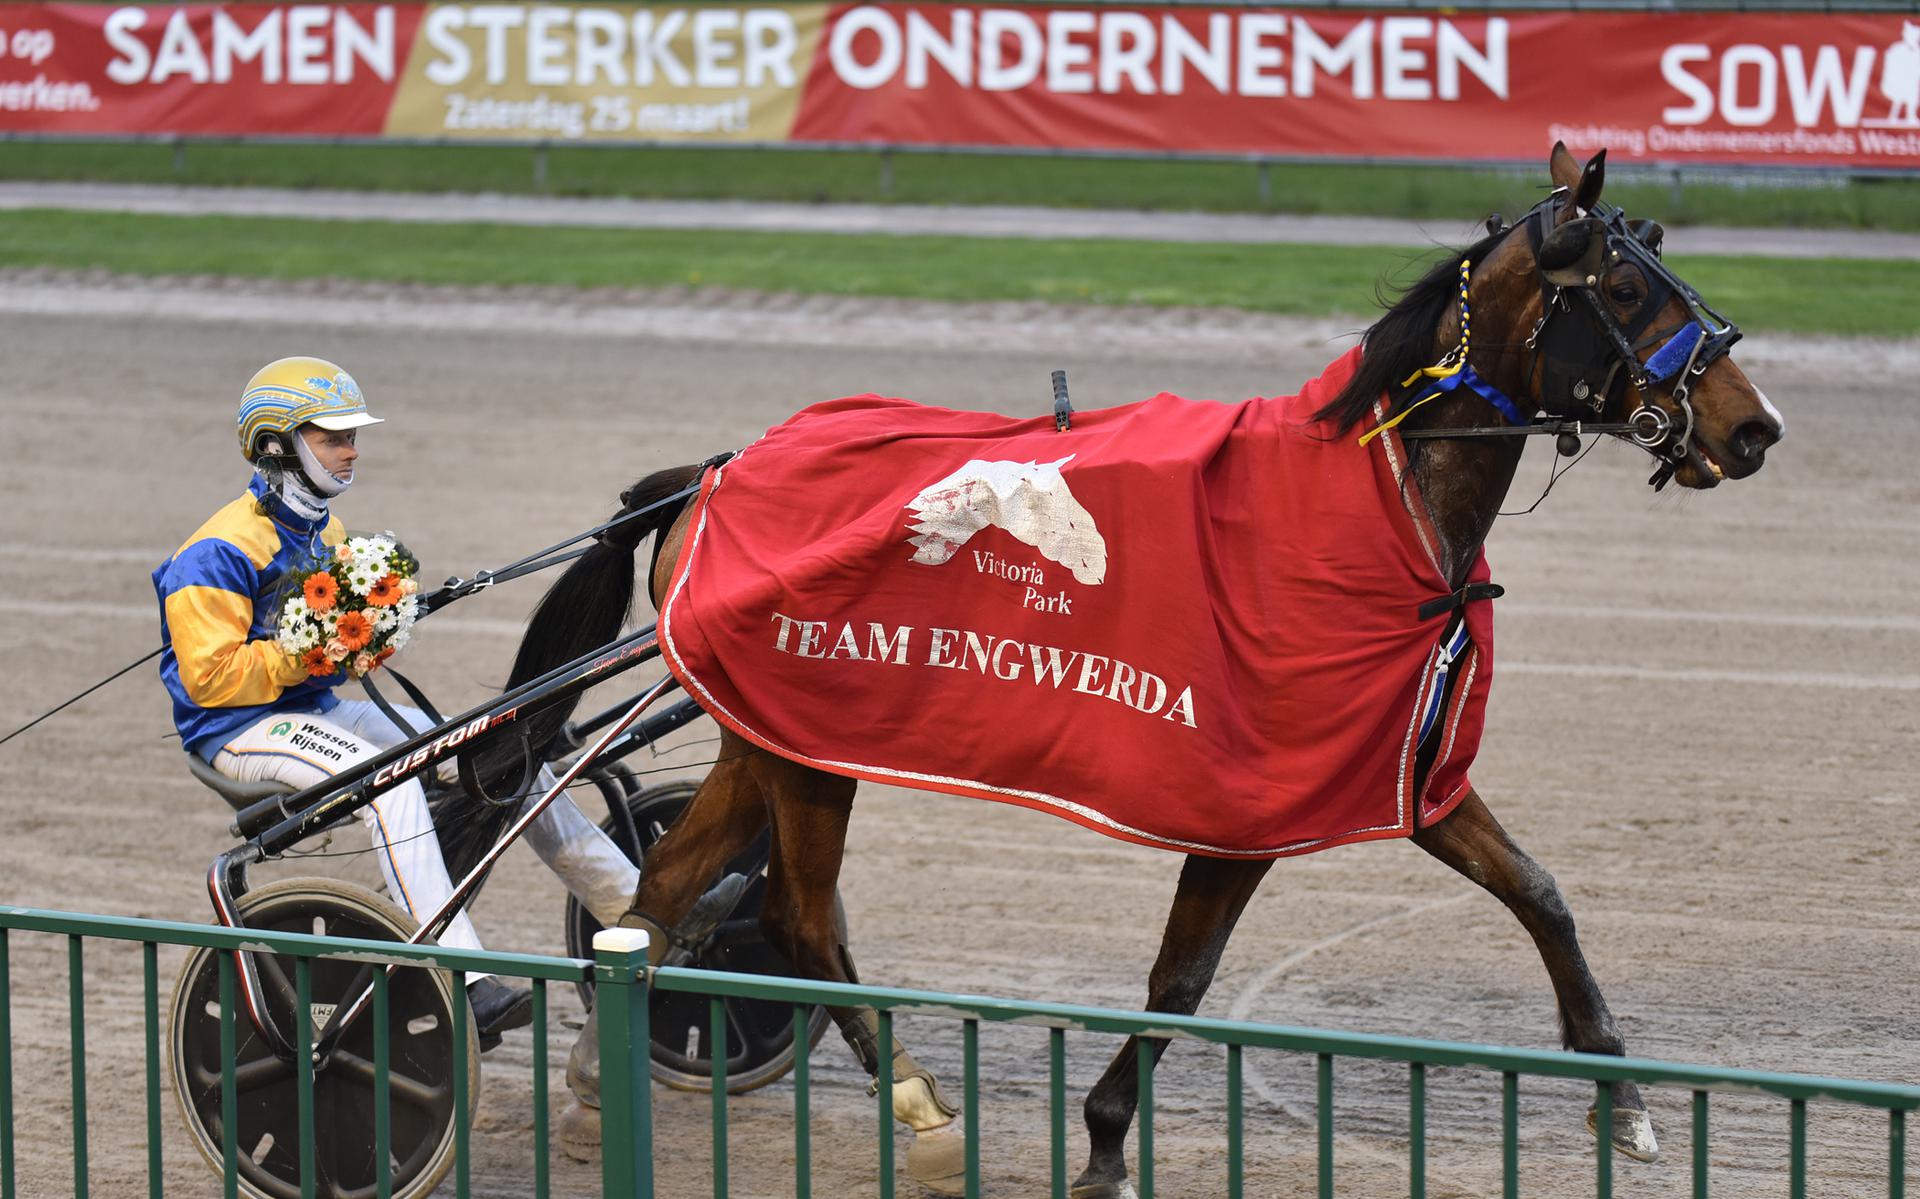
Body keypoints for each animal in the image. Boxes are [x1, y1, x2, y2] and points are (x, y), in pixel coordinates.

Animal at [499, 145, 1781, 1191]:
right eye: (1626, 287)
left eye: (1665, 262)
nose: (1754, 424)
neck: (1377, 503)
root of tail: (710, 475)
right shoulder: (1255, 789)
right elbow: (1183, 975)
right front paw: (1107, 1137)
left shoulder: (1405, 768)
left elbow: (1542, 892)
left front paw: (1624, 1098)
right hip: (810, 740)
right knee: (798, 920)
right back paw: (921, 1111)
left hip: (762, 727)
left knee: (666, 892)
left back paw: (599, 1088)